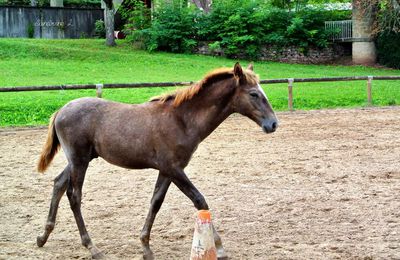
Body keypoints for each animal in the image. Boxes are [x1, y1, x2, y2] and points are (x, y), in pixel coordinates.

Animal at [36, 62, 276, 258]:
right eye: (254, 94)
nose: (273, 124)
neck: (181, 119)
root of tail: (60, 111)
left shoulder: (167, 170)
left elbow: (156, 202)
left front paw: (145, 247)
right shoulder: (175, 169)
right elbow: (199, 201)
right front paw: (219, 246)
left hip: (78, 160)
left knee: (58, 183)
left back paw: (43, 236)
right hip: (80, 160)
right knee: (74, 196)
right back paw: (92, 247)